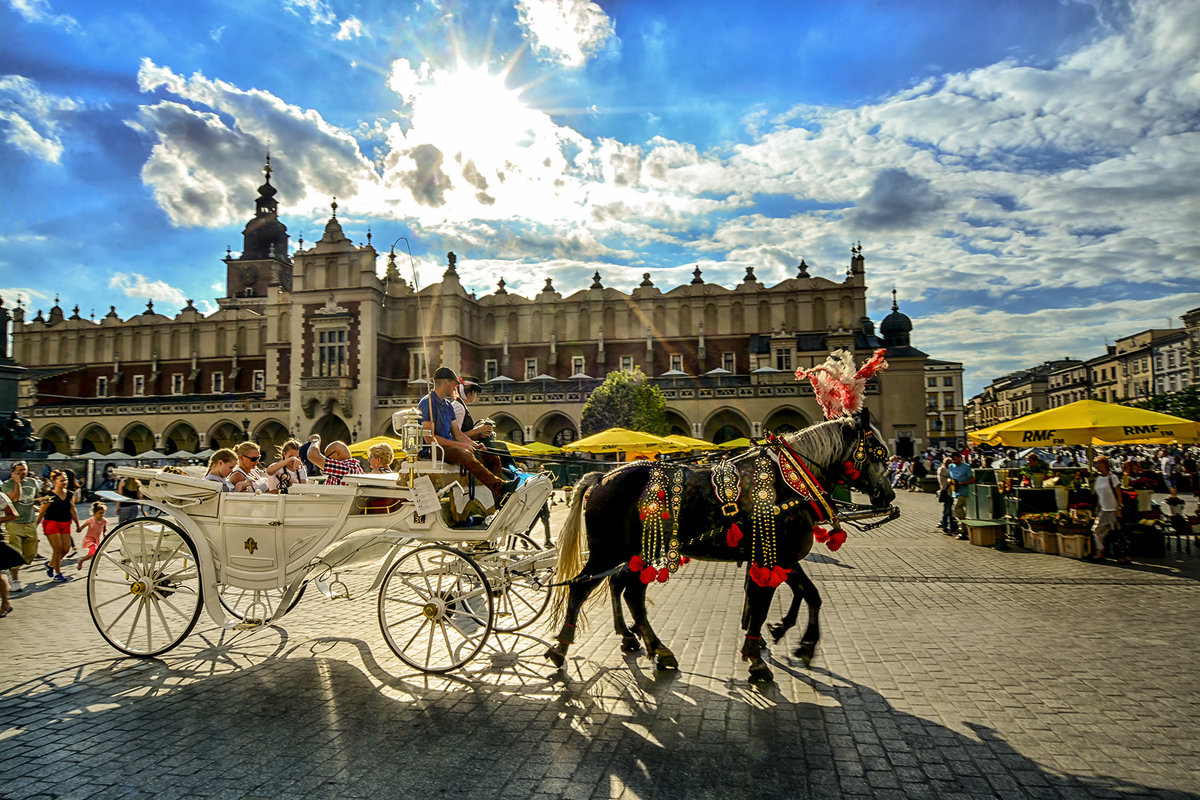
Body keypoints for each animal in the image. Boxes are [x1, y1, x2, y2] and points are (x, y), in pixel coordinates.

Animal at [549, 412, 897, 681]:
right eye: (878, 451)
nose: (889, 495)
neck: (790, 481)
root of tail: (600, 477)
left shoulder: (782, 556)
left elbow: (808, 594)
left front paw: (799, 641)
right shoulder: (771, 556)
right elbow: (763, 605)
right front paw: (758, 656)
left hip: (637, 551)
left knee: (629, 590)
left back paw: (654, 648)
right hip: (608, 549)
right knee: (582, 587)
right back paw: (562, 647)